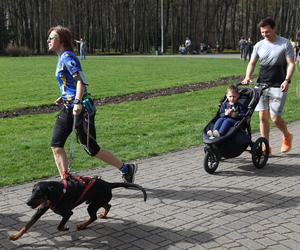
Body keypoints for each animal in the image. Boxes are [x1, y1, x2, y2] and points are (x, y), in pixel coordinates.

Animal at [10, 175, 148, 241]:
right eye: (32, 191)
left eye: (39, 193)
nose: (27, 202)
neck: (55, 193)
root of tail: (109, 184)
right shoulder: (40, 210)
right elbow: (27, 225)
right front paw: (16, 236)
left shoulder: (68, 213)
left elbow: (59, 226)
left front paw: (65, 228)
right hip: (96, 201)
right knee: (108, 205)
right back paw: (103, 215)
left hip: (92, 205)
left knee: (93, 217)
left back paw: (82, 225)